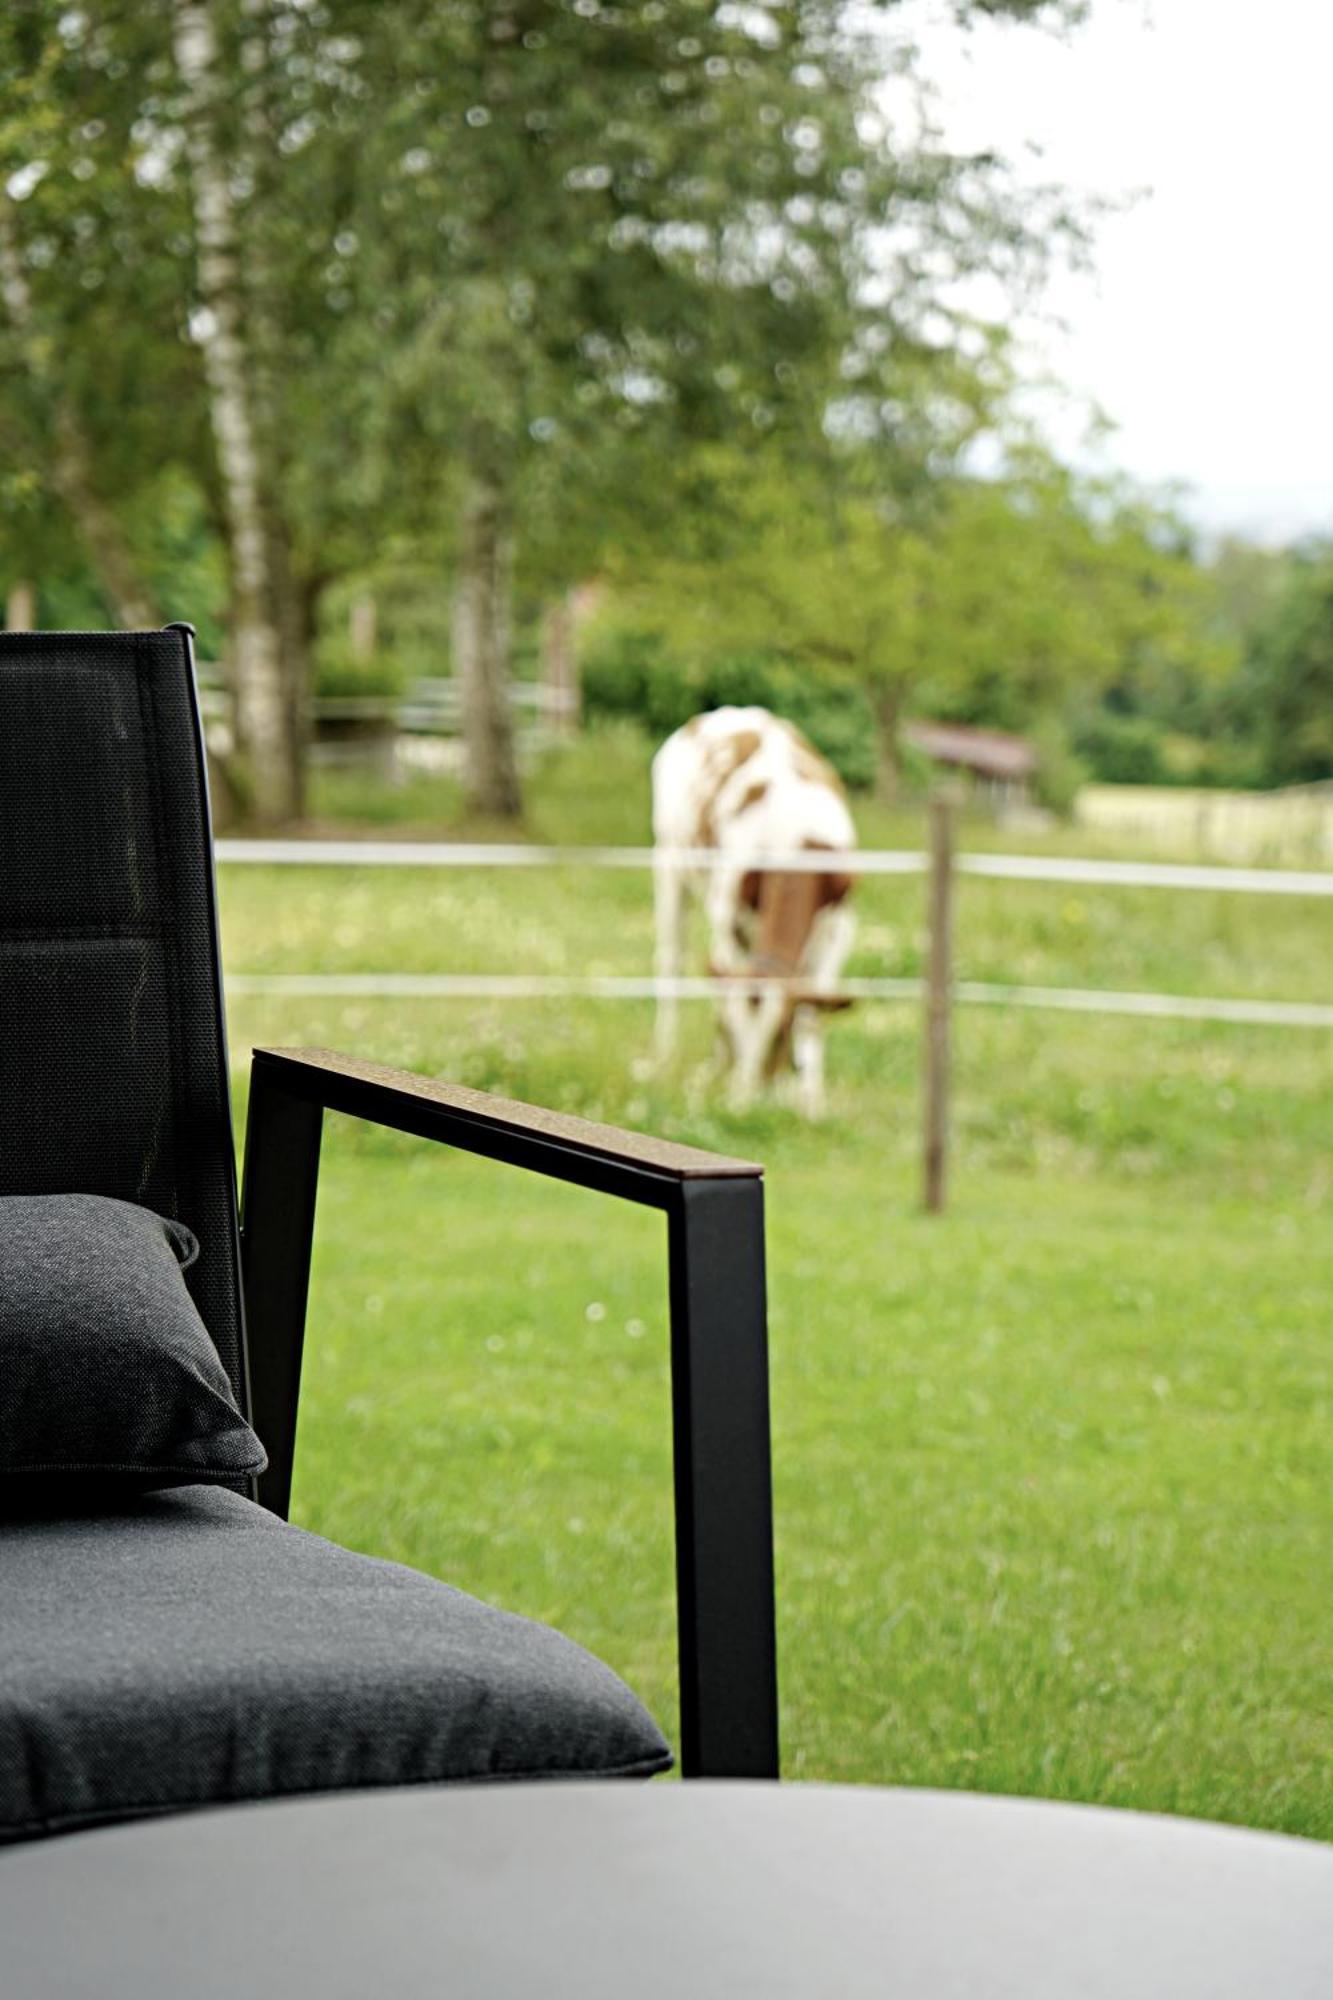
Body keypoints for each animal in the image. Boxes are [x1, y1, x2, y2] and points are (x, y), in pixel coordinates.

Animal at [652, 708, 856, 1120]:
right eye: (742, 1027)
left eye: (780, 1034)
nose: (743, 1103)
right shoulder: (728, 915)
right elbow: (724, 994)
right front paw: (726, 1068)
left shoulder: (839, 928)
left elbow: (813, 1012)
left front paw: (810, 1100)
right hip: (668, 861)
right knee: (673, 960)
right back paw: (671, 1054)